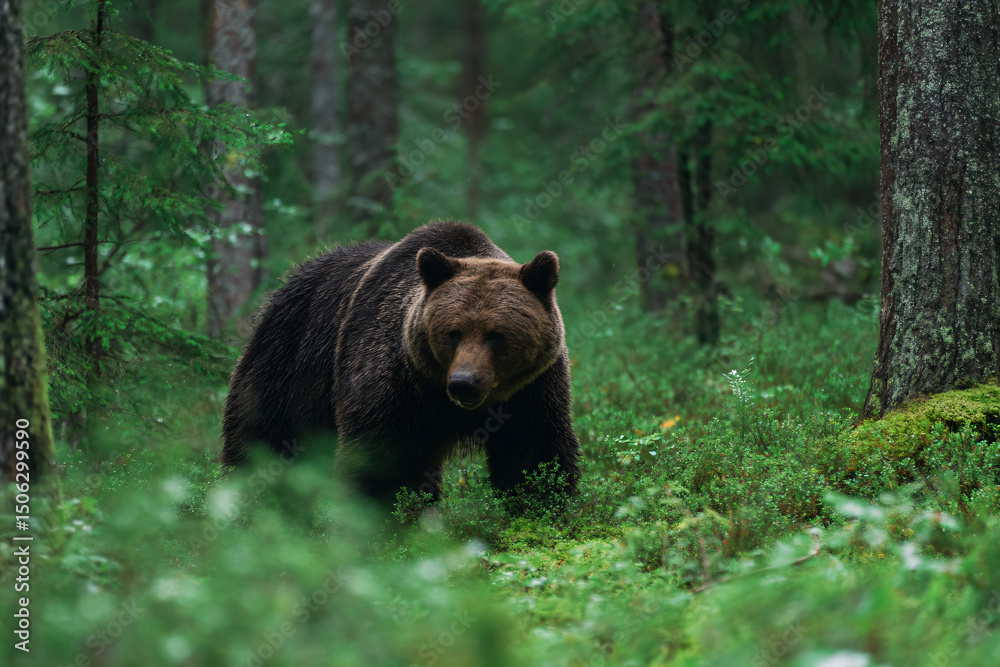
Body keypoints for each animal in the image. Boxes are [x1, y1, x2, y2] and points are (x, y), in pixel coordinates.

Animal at [221, 221, 581, 504]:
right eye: (453, 333)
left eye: (496, 335)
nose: (464, 383)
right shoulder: (395, 376)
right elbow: (385, 459)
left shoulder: (531, 386)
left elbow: (533, 451)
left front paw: (539, 504)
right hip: (291, 358)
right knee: (263, 436)